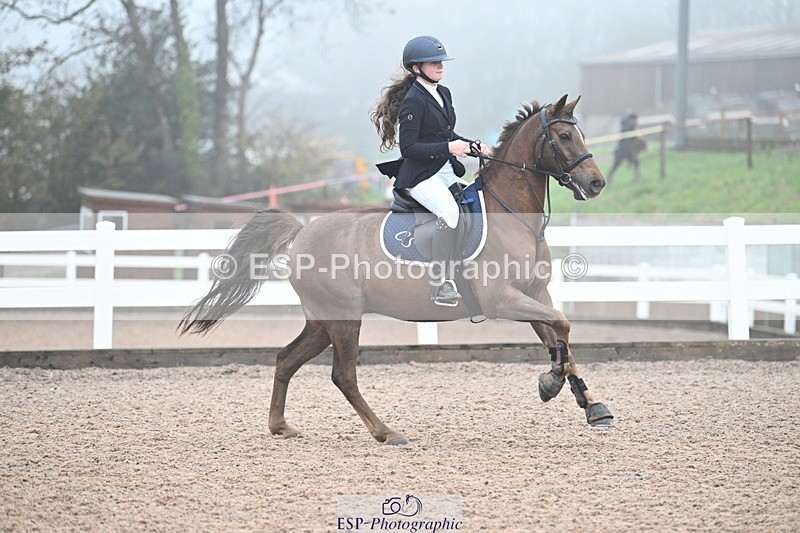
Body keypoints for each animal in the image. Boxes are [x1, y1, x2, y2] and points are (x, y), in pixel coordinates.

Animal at [179, 94, 614, 445]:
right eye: (563, 137)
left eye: (581, 135)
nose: (596, 184)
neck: (513, 216)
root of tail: (303, 230)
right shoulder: (502, 300)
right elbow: (562, 325)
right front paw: (551, 383)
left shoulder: (534, 294)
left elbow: (560, 335)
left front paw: (589, 403)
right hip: (344, 319)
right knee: (343, 376)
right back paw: (386, 432)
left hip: (322, 321)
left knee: (286, 359)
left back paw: (281, 426)